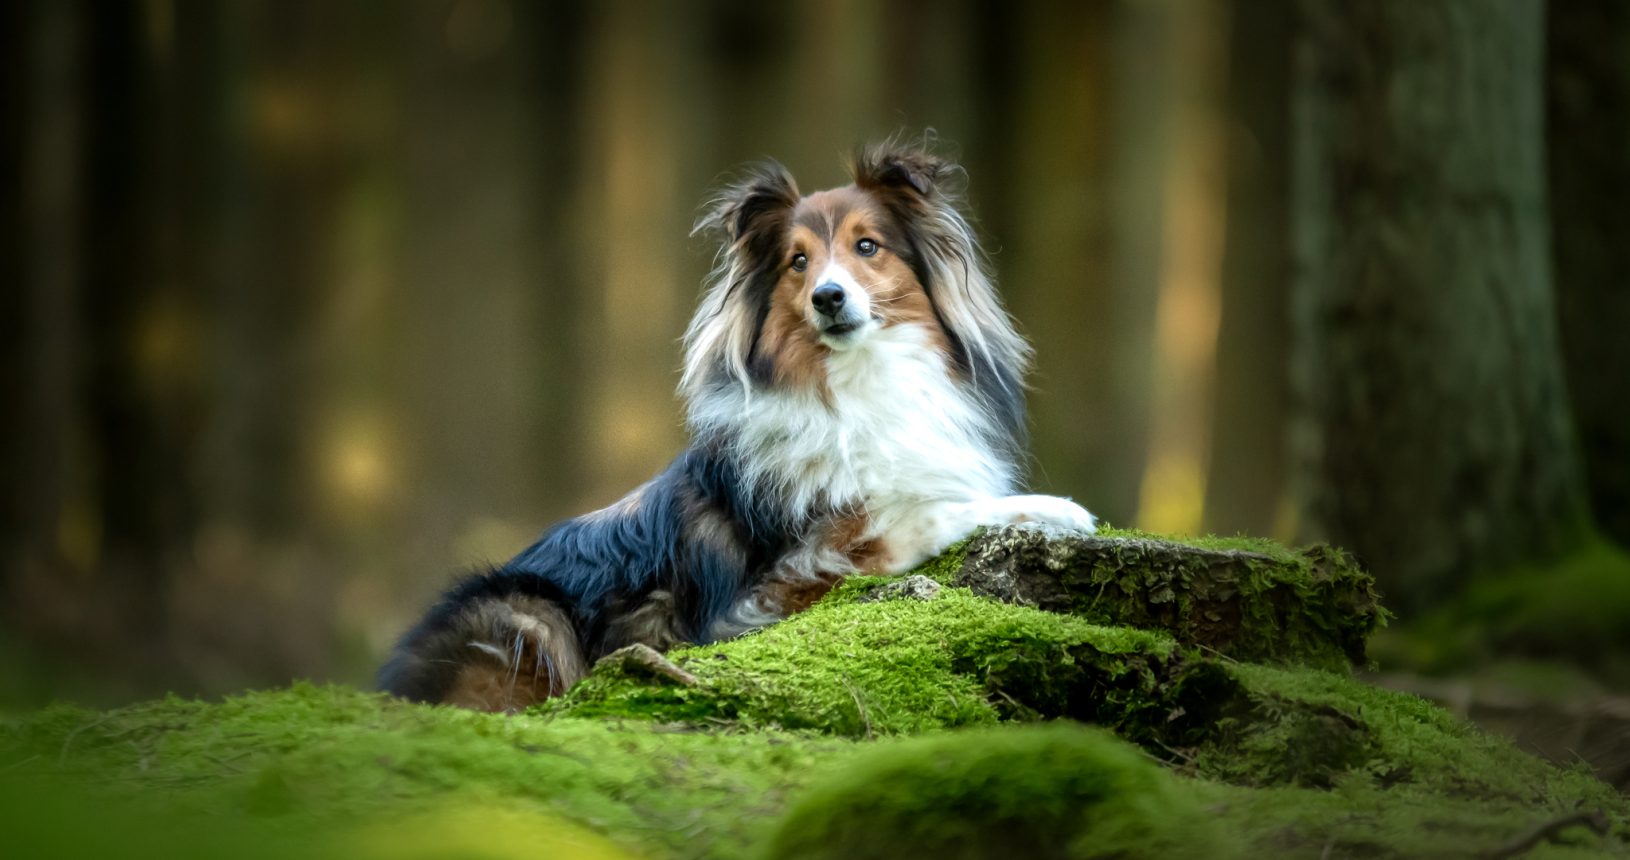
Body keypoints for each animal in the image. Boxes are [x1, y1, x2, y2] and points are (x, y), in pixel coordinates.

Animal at [379, 137, 1095, 713]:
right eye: (797, 261)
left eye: (867, 246)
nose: (828, 297)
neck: (858, 381)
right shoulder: (777, 584)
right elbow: (926, 512)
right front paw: (1055, 508)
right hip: (526, 614)